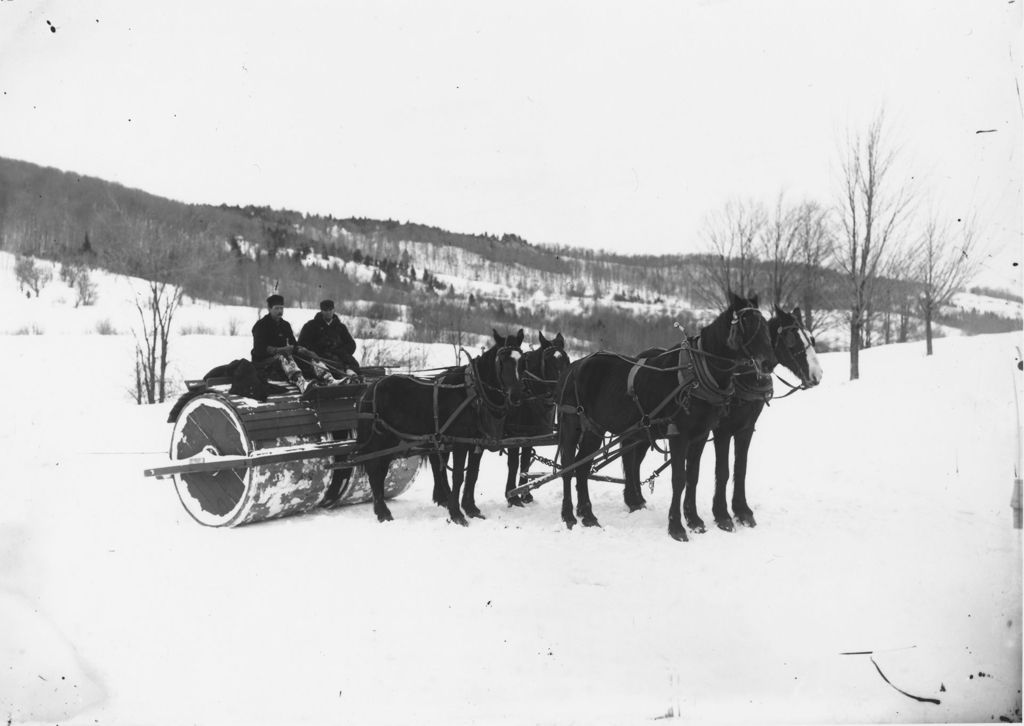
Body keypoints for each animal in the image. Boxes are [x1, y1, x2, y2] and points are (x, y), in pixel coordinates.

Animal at [356, 331, 524, 524]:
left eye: (522, 360)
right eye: (502, 360)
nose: (516, 396)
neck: (473, 394)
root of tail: (371, 387)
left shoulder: (477, 443)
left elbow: (472, 475)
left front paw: (471, 508)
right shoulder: (460, 443)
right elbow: (458, 476)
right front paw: (457, 514)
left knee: (379, 470)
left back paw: (381, 510)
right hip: (380, 439)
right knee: (375, 470)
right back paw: (383, 512)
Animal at [505, 331, 577, 503]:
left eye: (567, 359)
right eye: (548, 361)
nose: (563, 389)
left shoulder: (530, 437)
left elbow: (525, 462)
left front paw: (525, 494)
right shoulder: (514, 435)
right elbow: (514, 463)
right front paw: (512, 496)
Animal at [557, 292, 770, 536]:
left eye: (765, 324)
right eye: (746, 322)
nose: (768, 361)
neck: (696, 375)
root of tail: (574, 366)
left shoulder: (701, 435)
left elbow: (693, 476)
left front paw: (694, 520)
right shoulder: (680, 435)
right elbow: (679, 479)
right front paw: (676, 527)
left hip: (595, 429)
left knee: (582, 467)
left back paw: (588, 515)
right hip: (571, 425)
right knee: (567, 468)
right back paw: (569, 515)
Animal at [679, 303, 823, 528]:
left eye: (811, 338)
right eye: (791, 339)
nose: (817, 375)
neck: (742, 376)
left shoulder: (746, 428)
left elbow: (741, 469)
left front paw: (742, 510)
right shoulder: (722, 430)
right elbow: (723, 471)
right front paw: (722, 514)